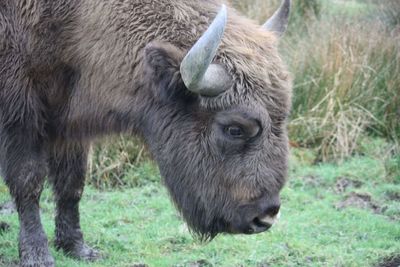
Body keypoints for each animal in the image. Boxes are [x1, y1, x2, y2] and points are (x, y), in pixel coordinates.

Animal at [0, 0, 294, 266]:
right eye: (234, 129)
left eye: (283, 116)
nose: (265, 217)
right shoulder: (21, 118)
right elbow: (29, 182)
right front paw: (38, 256)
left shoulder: (69, 125)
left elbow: (72, 184)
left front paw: (78, 249)